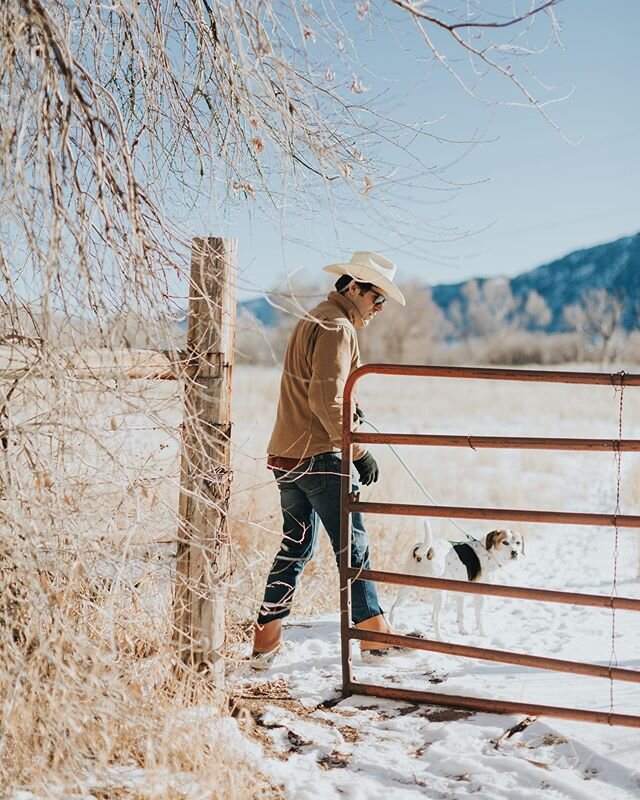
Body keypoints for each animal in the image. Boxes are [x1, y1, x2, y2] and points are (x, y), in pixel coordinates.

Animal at [390, 524, 524, 636]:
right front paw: (483, 633)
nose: (515, 553)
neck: (489, 552)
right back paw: (441, 640)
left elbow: (461, 614)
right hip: (439, 594)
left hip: (407, 587)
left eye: (518, 543)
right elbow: (479, 616)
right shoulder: (480, 595)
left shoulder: (460, 594)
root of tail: (425, 551)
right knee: (434, 618)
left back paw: (392, 630)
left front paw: (462, 631)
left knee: (394, 608)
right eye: (505, 542)